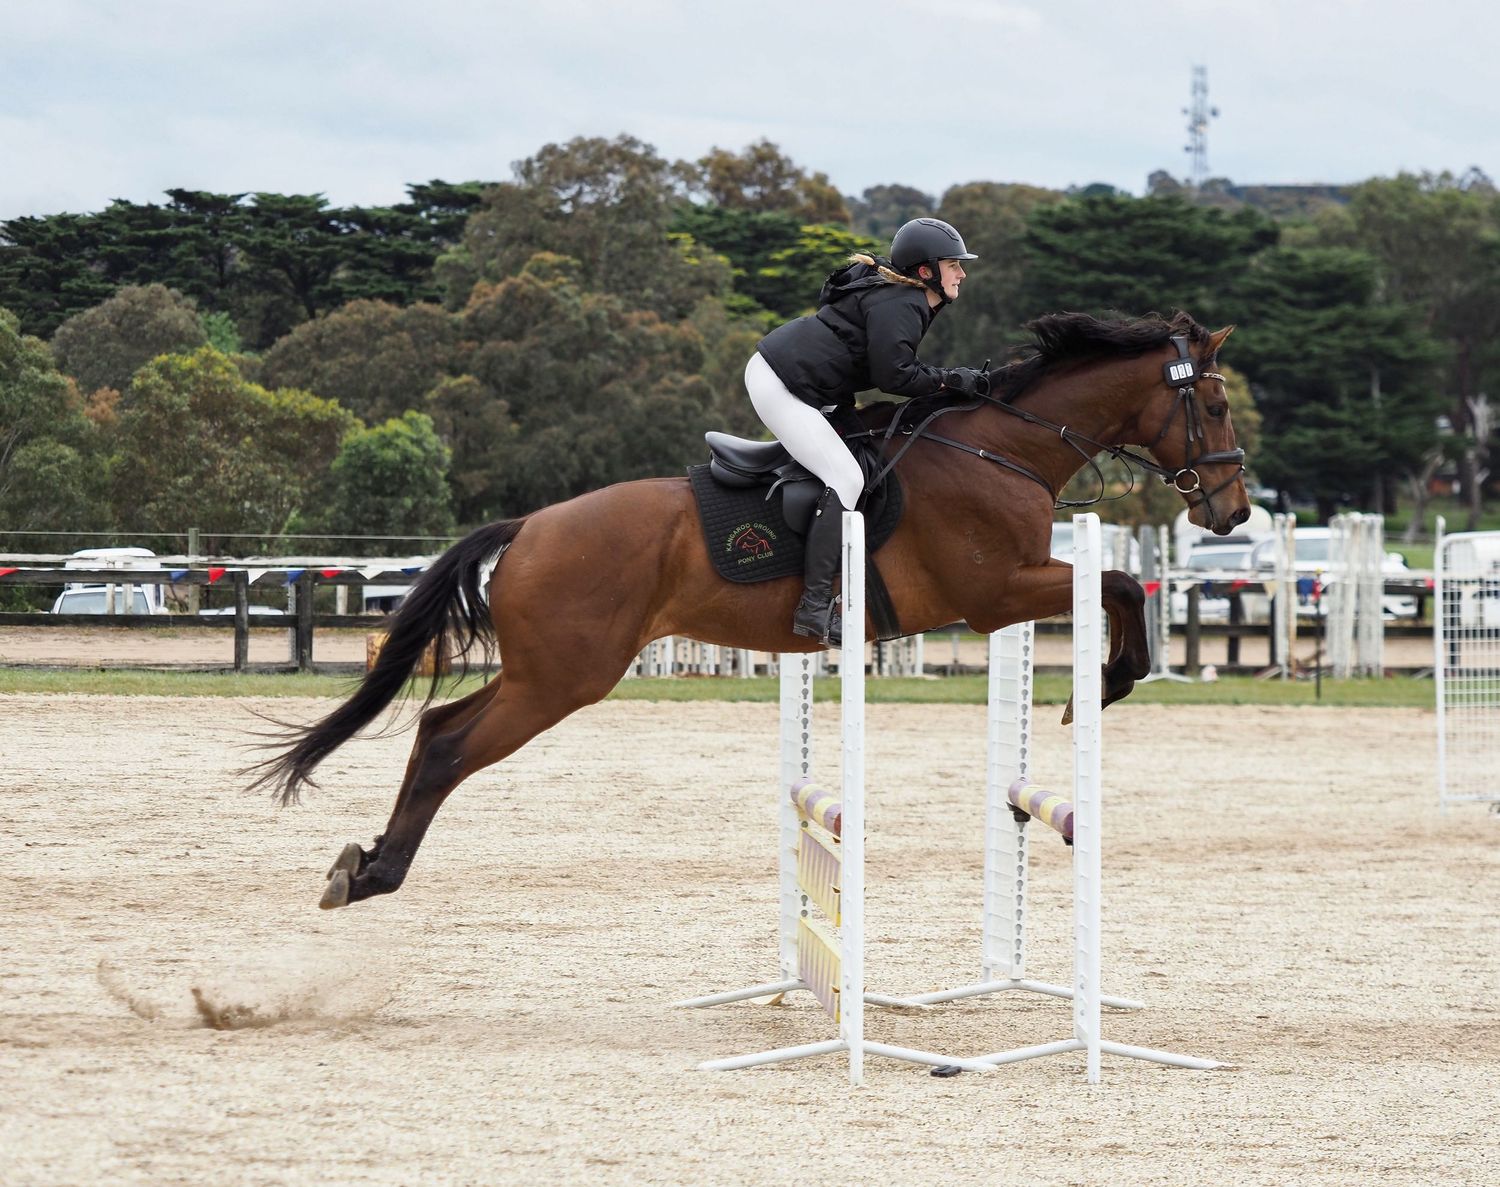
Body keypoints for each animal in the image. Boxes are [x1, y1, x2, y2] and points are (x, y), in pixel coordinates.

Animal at [252, 310, 1250, 909]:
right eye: (1213, 401)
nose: (1233, 512)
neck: (1002, 446)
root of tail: (530, 525)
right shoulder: (993, 590)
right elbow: (1119, 584)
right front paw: (1103, 686)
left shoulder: (1006, 589)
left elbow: (1119, 585)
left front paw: (1101, 685)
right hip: (564, 677)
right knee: (450, 744)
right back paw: (375, 875)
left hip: (549, 673)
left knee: (435, 728)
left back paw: (365, 864)